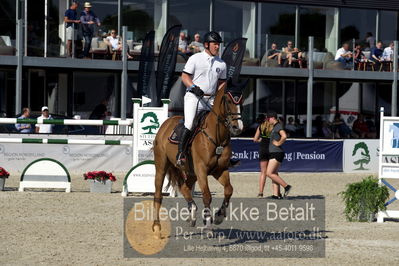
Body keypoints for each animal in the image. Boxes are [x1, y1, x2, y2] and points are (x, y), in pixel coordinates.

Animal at [152, 82, 244, 238]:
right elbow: (207, 196)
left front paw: (218, 216)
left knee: (184, 187)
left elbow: (229, 190)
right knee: (158, 195)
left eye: (241, 101)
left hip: (191, 172)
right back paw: (157, 227)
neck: (216, 137)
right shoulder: (201, 169)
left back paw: (192, 214)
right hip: (162, 166)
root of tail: (166, 124)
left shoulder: (220, 170)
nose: (237, 128)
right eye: (229, 101)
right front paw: (208, 226)